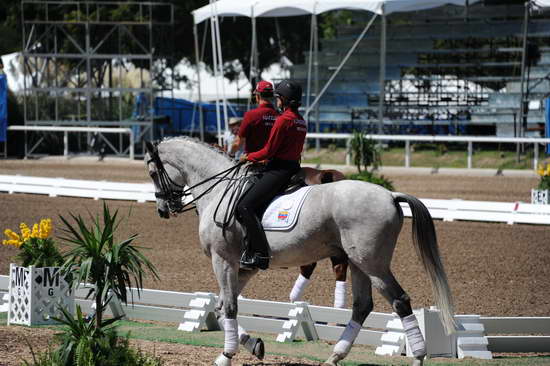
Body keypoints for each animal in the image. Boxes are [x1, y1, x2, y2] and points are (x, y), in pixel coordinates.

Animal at [144, 137, 460, 366]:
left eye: (152, 172)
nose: (163, 209)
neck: (218, 188)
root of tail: (390, 195)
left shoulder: (223, 261)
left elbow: (230, 308)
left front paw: (226, 356)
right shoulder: (242, 267)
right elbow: (222, 308)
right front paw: (255, 346)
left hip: (373, 264)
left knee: (400, 301)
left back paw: (417, 357)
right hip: (358, 263)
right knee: (362, 306)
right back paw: (335, 356)